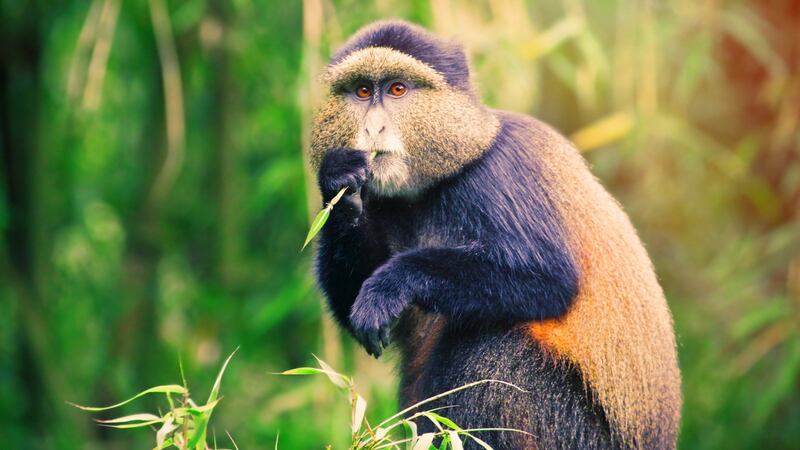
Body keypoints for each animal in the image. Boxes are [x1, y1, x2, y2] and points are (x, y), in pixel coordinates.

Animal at [308, 20, 681, 450]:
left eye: (397, 89)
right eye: (363, 91)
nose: (372, 127)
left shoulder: (500, 173)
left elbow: (549, 279)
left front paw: (391, 285)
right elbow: (351, 299)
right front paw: (338, 181)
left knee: (492, 343)